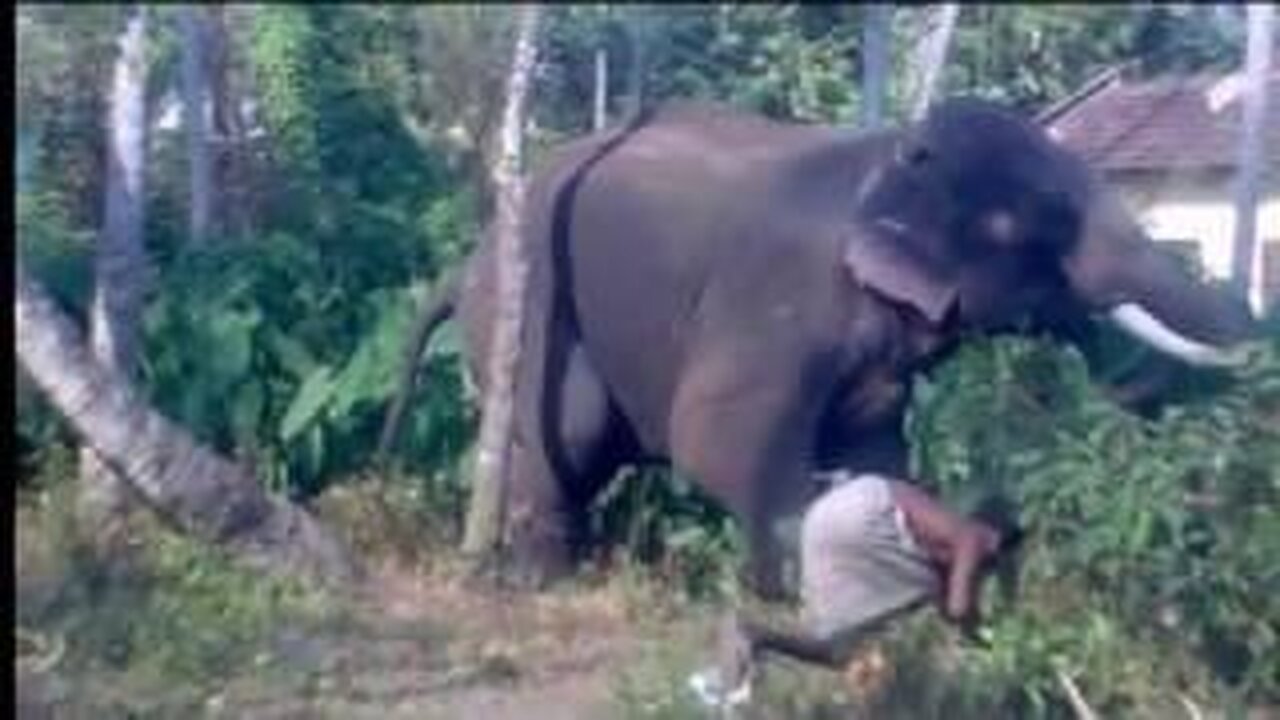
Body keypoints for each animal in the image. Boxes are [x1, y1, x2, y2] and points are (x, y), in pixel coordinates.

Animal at [384, 98, 1254, 597]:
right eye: (1027, 226)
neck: (885, 153)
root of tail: (465, 262)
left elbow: (876, 450)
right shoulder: (776, 301)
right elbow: (715, 442)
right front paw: (786, 594)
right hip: (533, 309)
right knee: (572, 431)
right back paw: (548, 583)